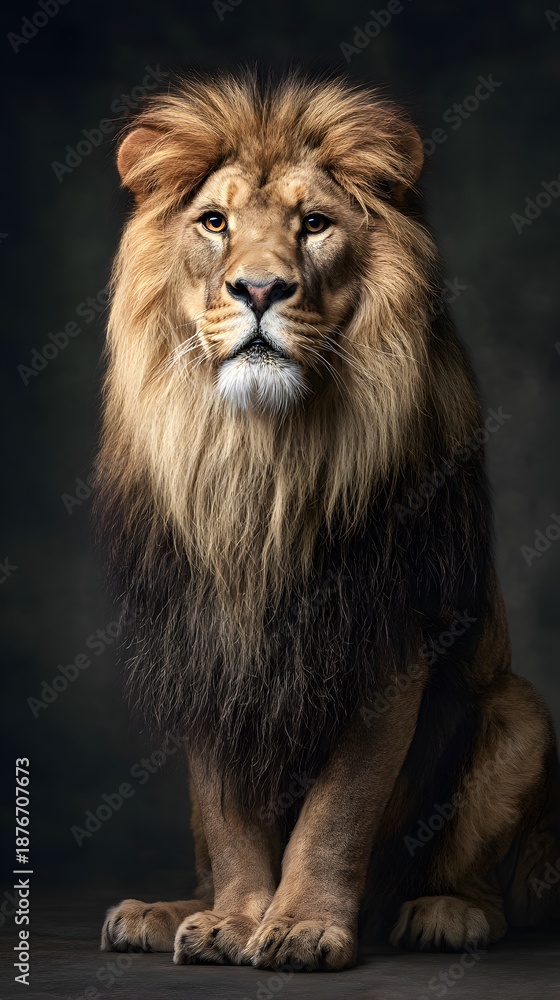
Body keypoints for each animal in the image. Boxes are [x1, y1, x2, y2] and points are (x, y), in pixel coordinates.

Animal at [96, 72, 560, 971]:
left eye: (314, 224)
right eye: (215, 223)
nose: (259, 289)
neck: (266, 460)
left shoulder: (389, 639)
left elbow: (338, 812)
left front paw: (304, 926)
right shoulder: (212, 641)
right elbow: (234, 817)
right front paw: (235, 921)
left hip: (521, 717)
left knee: (491, 893)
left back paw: (442, 913)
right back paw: (162, 912)